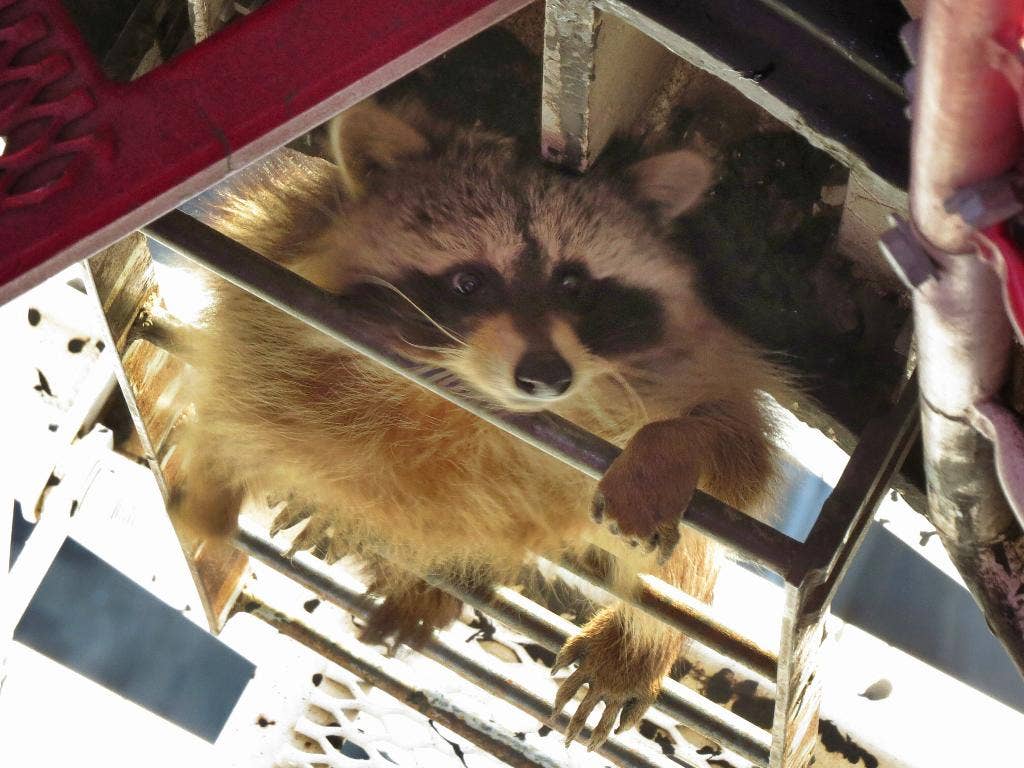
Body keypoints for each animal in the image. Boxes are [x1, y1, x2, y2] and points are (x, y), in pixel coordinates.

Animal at [174, 96, 786, 751]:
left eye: (573, 282)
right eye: (469, 282)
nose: (546, 375)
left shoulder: (705, 361)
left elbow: (737, 456)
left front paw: (669, 445)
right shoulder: (280, 253)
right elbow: (245, 376)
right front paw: (220, 492)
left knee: (685, 559)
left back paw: (638, 639)